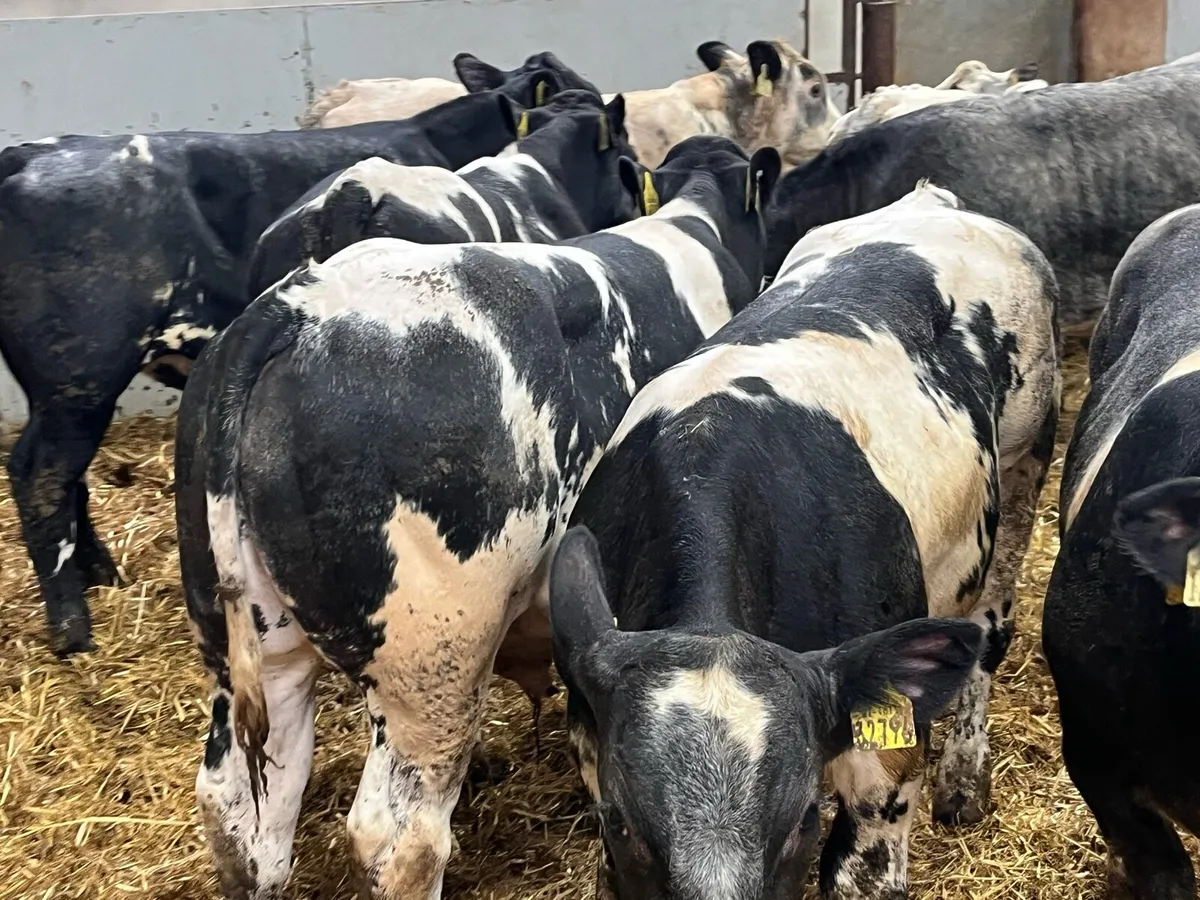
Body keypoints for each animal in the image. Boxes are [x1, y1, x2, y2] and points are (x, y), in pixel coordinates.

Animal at [0, 87, 541, 657]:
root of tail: (28, 155)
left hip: (64, 394)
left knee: (68, 477)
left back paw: (104, 576)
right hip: (78, 380)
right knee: (42, 475)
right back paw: (72, 627)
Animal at [550, 181, 1061, 899]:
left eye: (799, 821)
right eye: (620, 823)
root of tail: (930, 199)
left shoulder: (883, 767)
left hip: (1023, 464)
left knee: (989, 631)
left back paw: (964, 779)